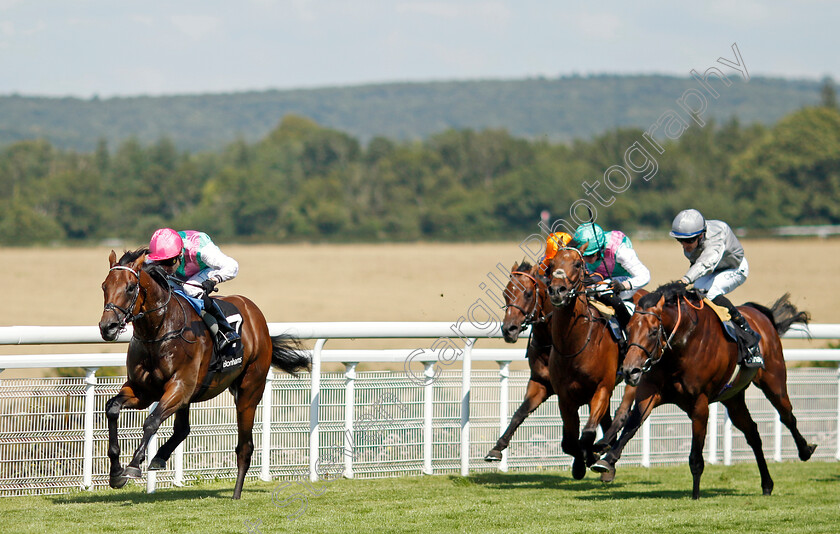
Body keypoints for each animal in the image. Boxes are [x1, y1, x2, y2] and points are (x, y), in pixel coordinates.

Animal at [98, 249, 308, 500]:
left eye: (130, 287)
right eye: (104, 286)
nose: (107, 327)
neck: (159, 331)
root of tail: (257, 317)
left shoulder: (180, 386)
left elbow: (151, 421)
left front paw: (132, 465)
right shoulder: (144, 391)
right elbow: (112, 408)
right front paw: (116, 472)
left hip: (249, 391)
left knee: (245, 446)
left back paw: (236, 493)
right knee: (183, 429)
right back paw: (160, 457)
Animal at [544, 247, 636, 482]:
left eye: (578, 264)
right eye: (551, 265)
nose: (557, 291)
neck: (575, 345)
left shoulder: (602, 387)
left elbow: (586, 434)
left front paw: (591, 455)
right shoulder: (565, 396)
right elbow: (569, 441)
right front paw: (581, 462)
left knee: (621, 414)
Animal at [592, 286, 816, 500]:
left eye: (654, 331)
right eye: (628, 329)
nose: (630, 370)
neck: (681, 347)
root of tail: (760, 315)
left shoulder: (699, 403)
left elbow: (695, 456)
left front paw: (696, 495)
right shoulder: (650, 393)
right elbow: (631, 425)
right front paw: (607, 461)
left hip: (774, 382)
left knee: (787, 416)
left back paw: (805, 450)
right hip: (733, 398)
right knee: (752, 433)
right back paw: (767, 484)